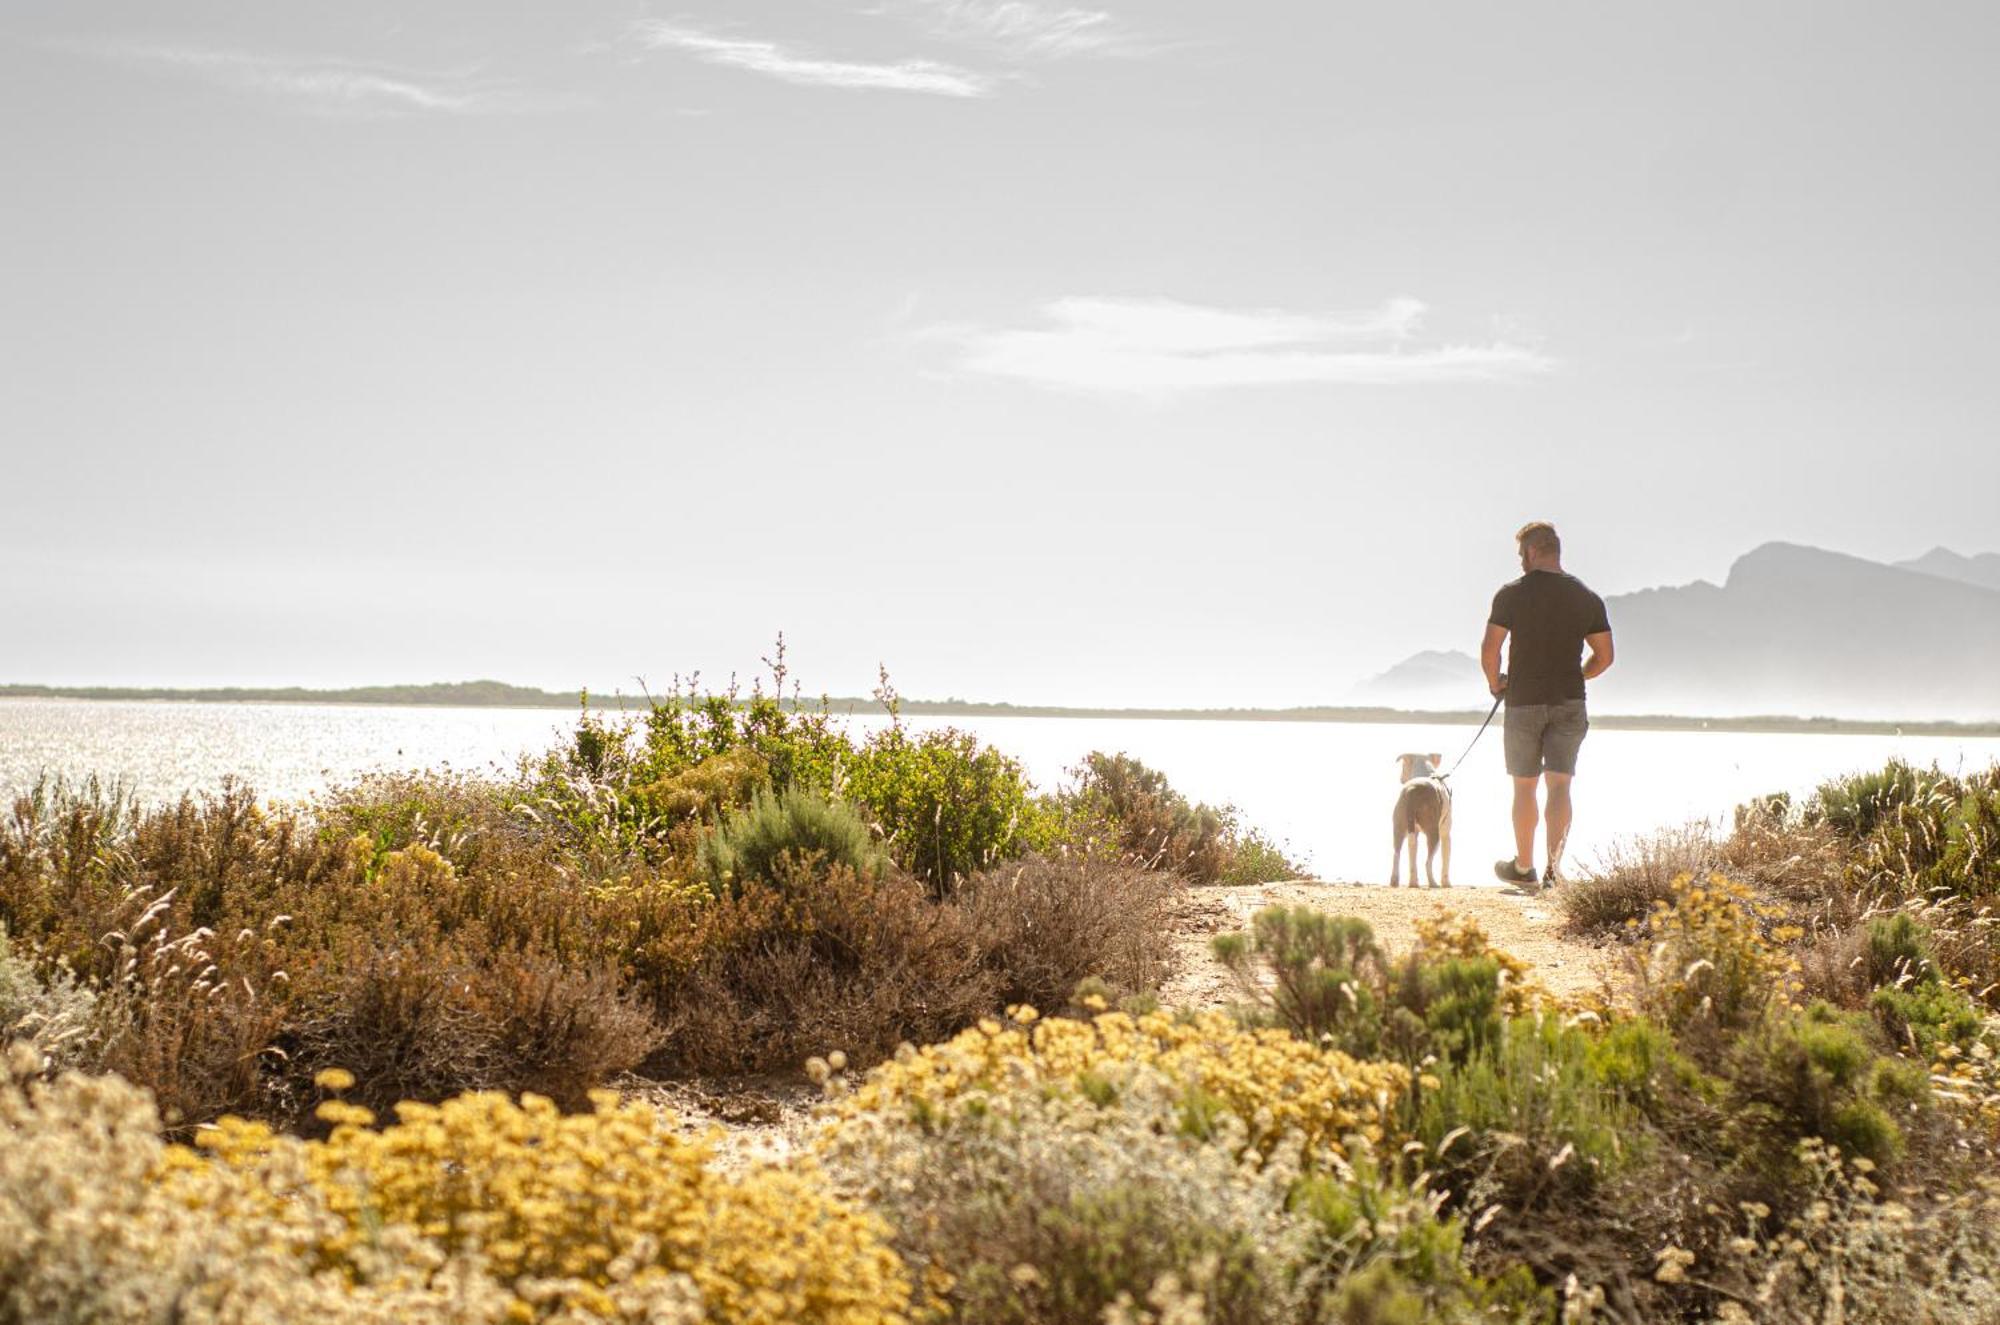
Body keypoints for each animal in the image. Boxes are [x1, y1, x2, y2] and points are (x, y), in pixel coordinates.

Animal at [1392, 756, 1456, 892]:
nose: (1400, 779)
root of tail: (1412, 790)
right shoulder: (1446, 834)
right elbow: (1446, 859)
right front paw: (1446, 883)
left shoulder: (1414, 832)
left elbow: (1412, 854)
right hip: (1434, 833)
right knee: (1427, 862)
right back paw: (1433, 883)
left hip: (1398, 828)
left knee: (1397, 854)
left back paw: (1405, 882)